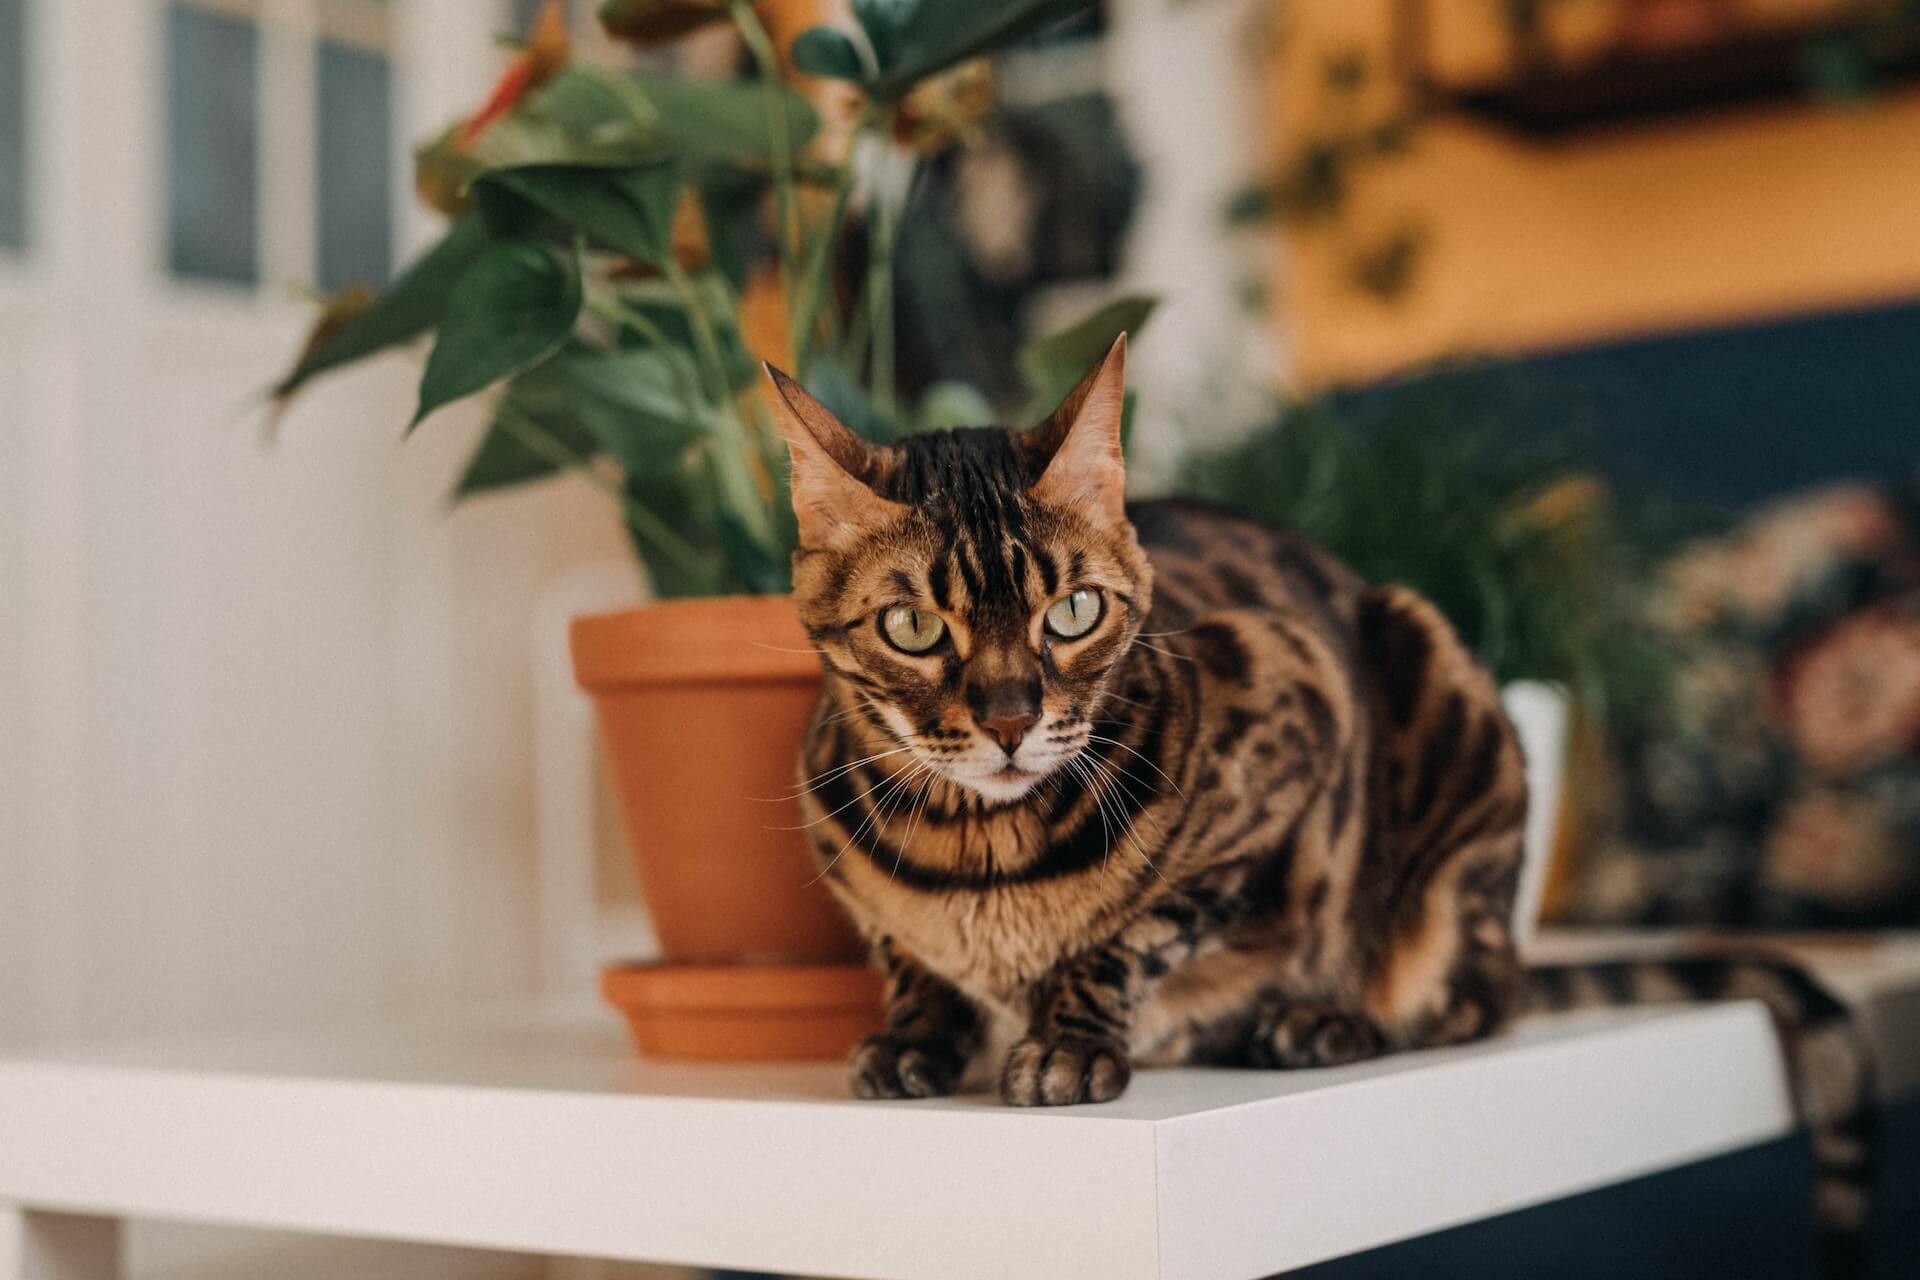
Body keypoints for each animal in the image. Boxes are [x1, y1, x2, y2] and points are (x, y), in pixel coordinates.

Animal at [760, 337, 1873, 1274]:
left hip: (1435, 694)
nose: (1008, 721)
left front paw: (1072, 1040)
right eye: (911, 627)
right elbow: (909, 956)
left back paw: (1316, 1022)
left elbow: (1132, 933)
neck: (979, 857)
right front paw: (917, 1035)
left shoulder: (1293, 721)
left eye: (1071, 611)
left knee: (1468, 997)